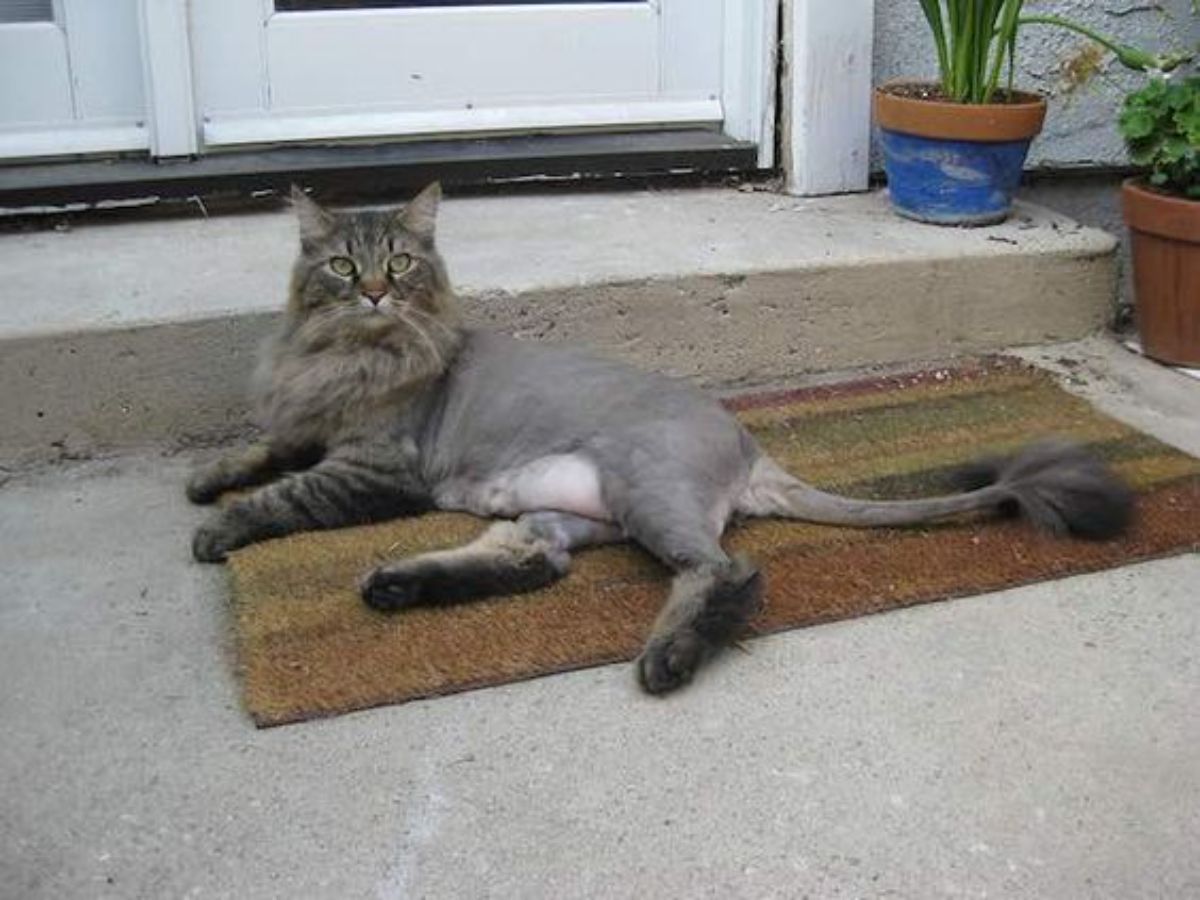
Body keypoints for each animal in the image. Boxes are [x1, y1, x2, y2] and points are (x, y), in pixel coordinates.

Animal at [189, 181, 1132, 691]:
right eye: (343, 265)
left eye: (400, 263)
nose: (375, 293)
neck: (342, 354)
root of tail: (749, 446)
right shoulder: (310, 424)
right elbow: (264, 449)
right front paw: (208, 476)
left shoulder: (377, 466)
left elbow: (284, 494)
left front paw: (217, 526)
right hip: (565, 510)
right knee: (534, 563)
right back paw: (397, 587)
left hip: (643, 488)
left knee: (725, 571)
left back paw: (671, 657)